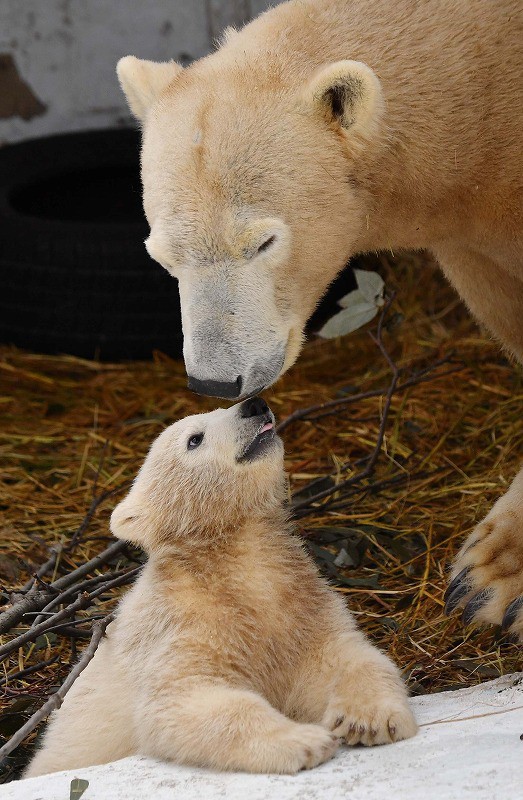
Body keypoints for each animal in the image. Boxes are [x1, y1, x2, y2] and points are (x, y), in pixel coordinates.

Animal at [25, 397, 417, 778]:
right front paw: (305, 740)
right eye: (194, 439)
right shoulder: (182, 622)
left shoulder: (303, 603)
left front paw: (367, 719)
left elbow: (344, 656)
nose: (255, 405)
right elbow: (181, 700)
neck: (231, 564)